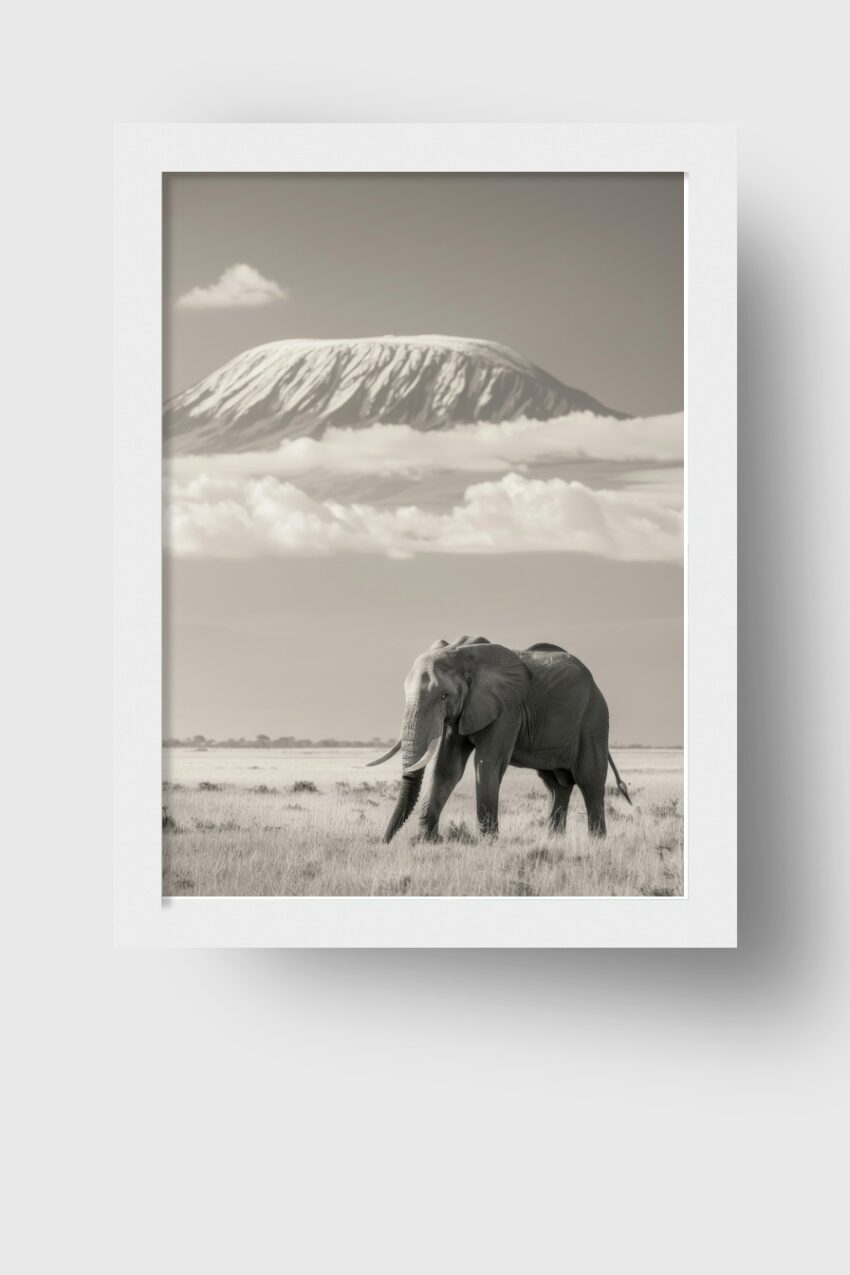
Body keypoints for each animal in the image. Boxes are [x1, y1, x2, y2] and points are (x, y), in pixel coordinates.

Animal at [368, 636, 631, 843]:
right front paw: (427, 840)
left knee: (590, 780)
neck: (462, 652)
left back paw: (596, 842)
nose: (384, 841)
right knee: (557, 785)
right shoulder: (463, 711)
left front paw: (489, 842)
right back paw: (554, 840)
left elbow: (487, 763)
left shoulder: (507, 708)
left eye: (444, 695)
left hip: (593, 720)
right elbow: (447, 768)